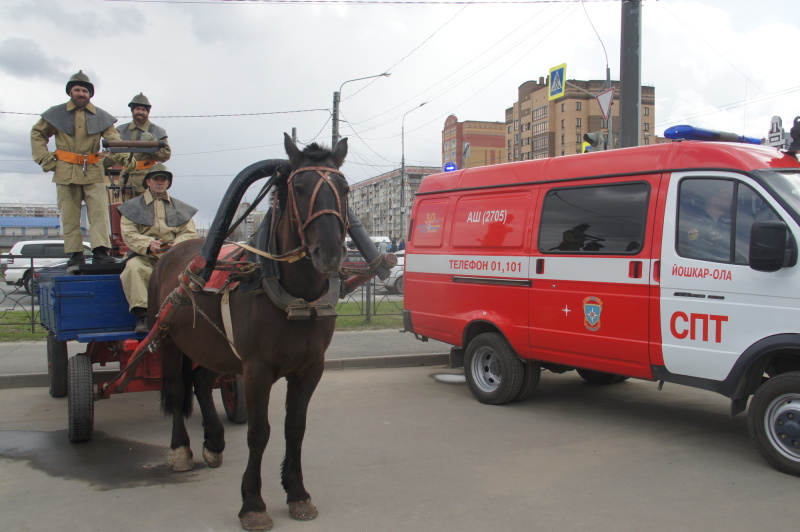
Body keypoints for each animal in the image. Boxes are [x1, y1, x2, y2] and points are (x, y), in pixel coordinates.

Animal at [152, 132, 348, 528]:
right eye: (299, 188)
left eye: (345, 189)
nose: (331, 253)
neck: (297, 297)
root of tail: (172, 252)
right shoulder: (256, 370)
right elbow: (260, 432)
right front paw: (253, 503)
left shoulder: (310, 369)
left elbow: (295, 428)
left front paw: (297, 492)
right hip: (168, 340)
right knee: (178, 389)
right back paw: (182, 450)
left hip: (210, 345)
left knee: (200, 383)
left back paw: (213, 442)